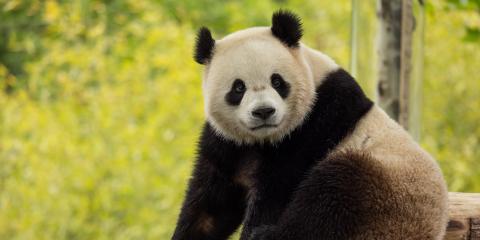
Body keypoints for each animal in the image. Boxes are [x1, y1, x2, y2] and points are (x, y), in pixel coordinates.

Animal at [172, 9, 450, 240]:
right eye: (238, 88)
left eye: (277, 81)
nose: (264, 112)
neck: (262, 140)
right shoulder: (227, 142)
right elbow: (210, 205)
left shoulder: (314, 124)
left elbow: (277, 190)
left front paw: (255, 229)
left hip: (387, 191)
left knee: (333, 196)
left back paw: (268, 235)